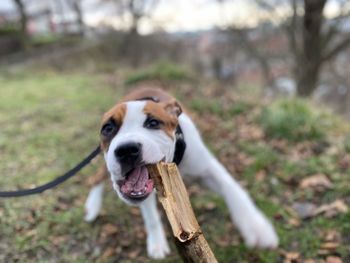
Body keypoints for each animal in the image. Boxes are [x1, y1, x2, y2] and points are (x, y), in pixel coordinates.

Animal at [83, 88, 278, 260]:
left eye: (153, 123)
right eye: (108, 128)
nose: (126, 150)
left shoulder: (207, 168)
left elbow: (234, 189)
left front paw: (256, 227)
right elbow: (151, 216)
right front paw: (157, 243)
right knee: (96, 177)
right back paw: (93, 206)